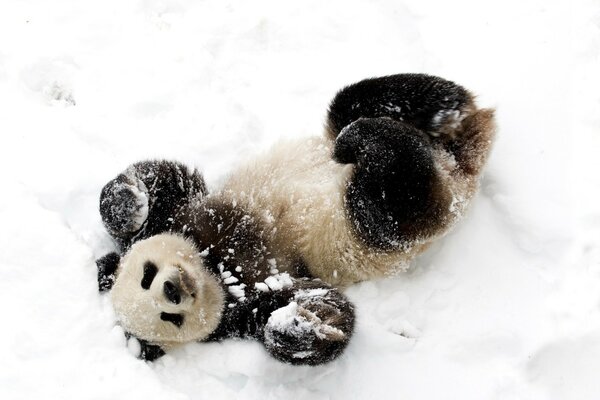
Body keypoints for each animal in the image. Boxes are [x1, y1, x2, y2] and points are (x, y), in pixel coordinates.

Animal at [96, 72, 494, 366]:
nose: (172, 290)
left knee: (355, 103)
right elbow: (321, 306)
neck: (215, 265)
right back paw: (382, 138)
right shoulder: (248, 300)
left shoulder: (186, 215)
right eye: (170, 318)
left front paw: (128, 203)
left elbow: (165, 179)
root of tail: (458, 164)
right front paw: (297, 326)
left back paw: (435, 111)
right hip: (377, 225)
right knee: (394, 196)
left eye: (147, 275)